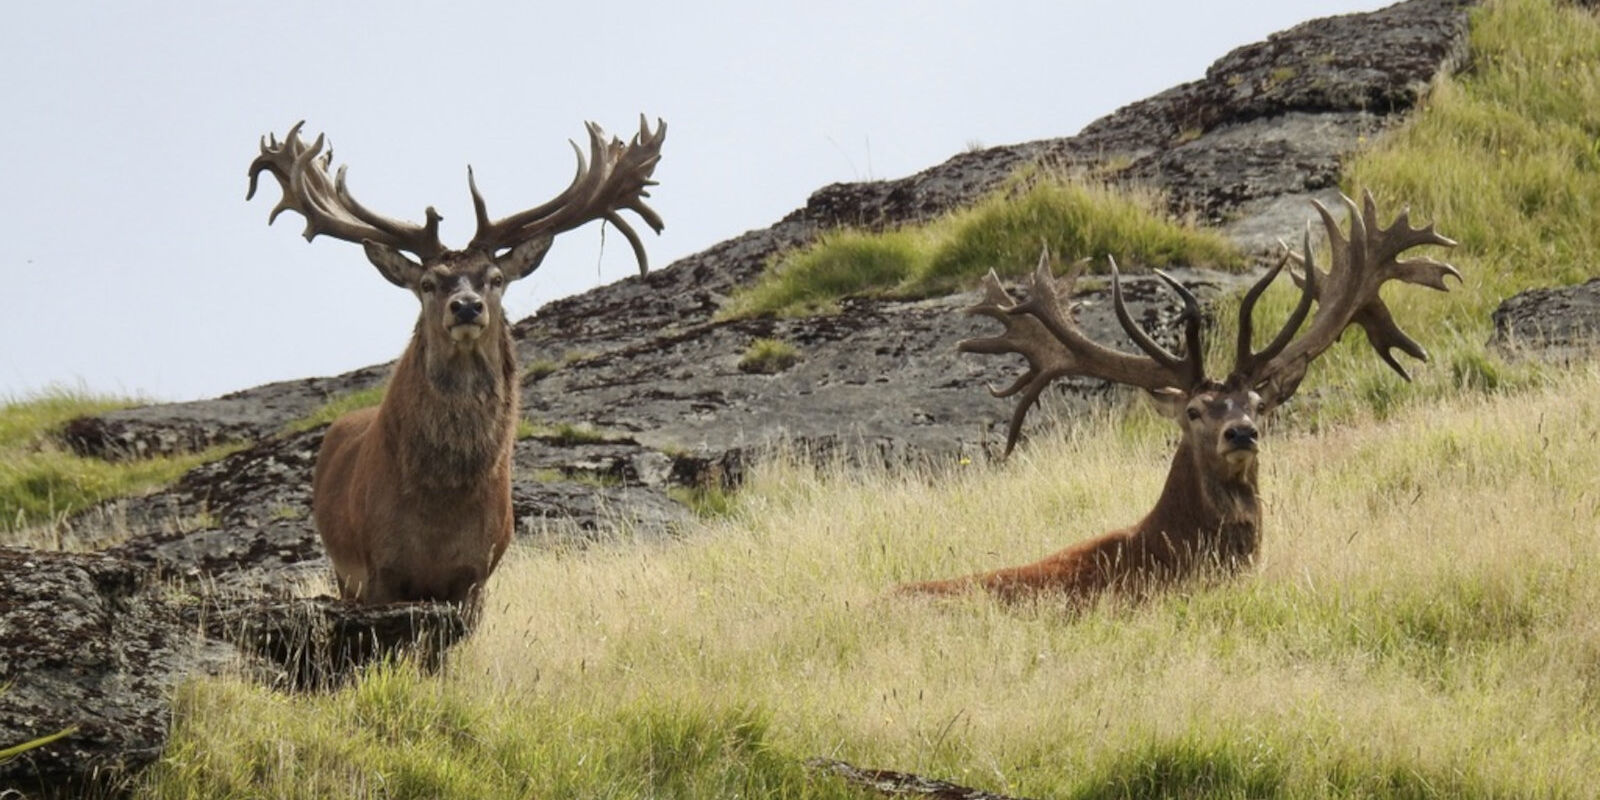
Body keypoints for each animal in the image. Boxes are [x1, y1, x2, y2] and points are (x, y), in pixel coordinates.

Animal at [247, 117, 666, 606]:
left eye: (496, 278)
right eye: (428, 283)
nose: (466, 306)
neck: (441, 512)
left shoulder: (477, 573)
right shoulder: (379, 570)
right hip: (342, 571)